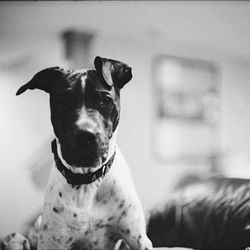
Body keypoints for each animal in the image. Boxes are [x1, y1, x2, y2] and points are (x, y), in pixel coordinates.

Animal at [2, 56, 152, 250]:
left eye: (105, 100)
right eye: (62, 101)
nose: (85, 135)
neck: (86, 183)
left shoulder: (137, 238)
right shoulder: (53, 241)